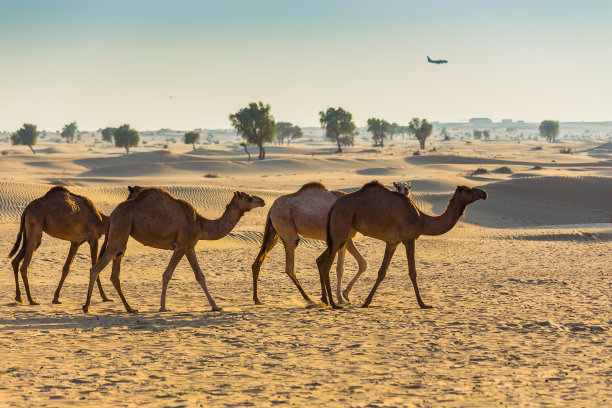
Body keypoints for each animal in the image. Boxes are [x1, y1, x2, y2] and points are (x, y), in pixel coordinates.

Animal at [8, 186, 142, 304]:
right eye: (138, 191)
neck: (102, 220)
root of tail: (26, 210)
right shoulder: (94, 238)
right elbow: (95, 266)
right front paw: (105, 297)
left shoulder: (76, 242)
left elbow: (66, 268)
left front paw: (56, 298)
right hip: (35, 228)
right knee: (24, 266)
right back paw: (31, 300)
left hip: (28, 234)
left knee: (15, 261)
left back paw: (19, 297)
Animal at [82, 186, 264, 314]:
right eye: (249, 198)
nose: (262, 201)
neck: (201, 224)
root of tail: (112, 215)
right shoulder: (182, 246)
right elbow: (167, 274)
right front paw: (163, 307)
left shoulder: (190, 247)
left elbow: (200, 276)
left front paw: (215, 306)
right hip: (120, 230)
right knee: (96, 268)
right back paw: (86, 306)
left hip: (123, 235)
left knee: (115, 272)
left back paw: (130, 308)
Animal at [251, 180, 414, 304]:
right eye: (399, 187)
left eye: (408, 187)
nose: (406, 193)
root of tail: (271, 208)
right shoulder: (346, 238)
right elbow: (349, 266)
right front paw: (342, 297)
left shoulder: (339, 239)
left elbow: (332, 264)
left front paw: (338, 297)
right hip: (287, 227)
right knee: (290, 265)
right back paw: (308, 299)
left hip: (273, 232)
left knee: (259, 260)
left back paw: (257, 299)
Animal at [318, 180, 486, 308]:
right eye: (468, 190)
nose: (484, 193)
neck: (422, 220)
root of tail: (334, 206)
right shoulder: (409, 239)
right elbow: (413, 272)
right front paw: (423, 303)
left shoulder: (393, 242)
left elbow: (382, 272)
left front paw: (366, 302)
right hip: (341, 229)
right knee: (326, 266)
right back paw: (334, 304)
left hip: (338, 235)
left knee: (322, 261)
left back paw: (326, 300)